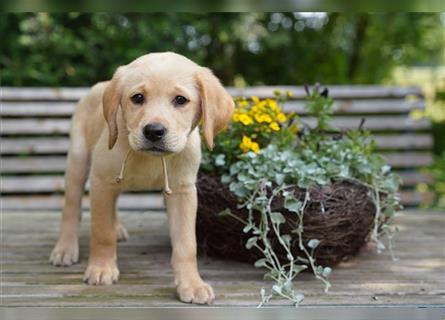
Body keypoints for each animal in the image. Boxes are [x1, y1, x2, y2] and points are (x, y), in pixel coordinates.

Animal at [50, 52, 234, 304]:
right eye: (137, 98)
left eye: (180, 100)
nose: (154, 131)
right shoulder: (101, 180)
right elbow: (102, 232)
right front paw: (101, 269)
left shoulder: (183, 191)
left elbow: (186, 245)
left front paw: (192, 284)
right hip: (78, 161)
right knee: (71, 208)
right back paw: (65, 248)